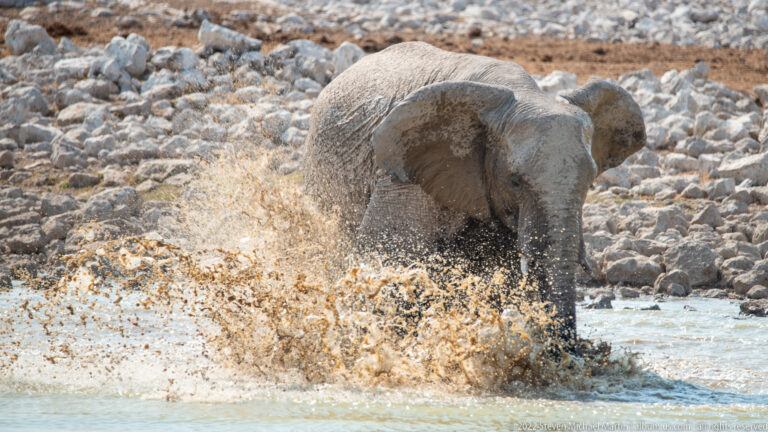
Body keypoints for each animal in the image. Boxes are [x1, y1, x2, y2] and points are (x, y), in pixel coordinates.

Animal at [303, 42, 646, 349]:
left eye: (589, 182)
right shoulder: (405, 173)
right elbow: (393, 252)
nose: (569, 350)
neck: (516, 92)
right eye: (515, 181)